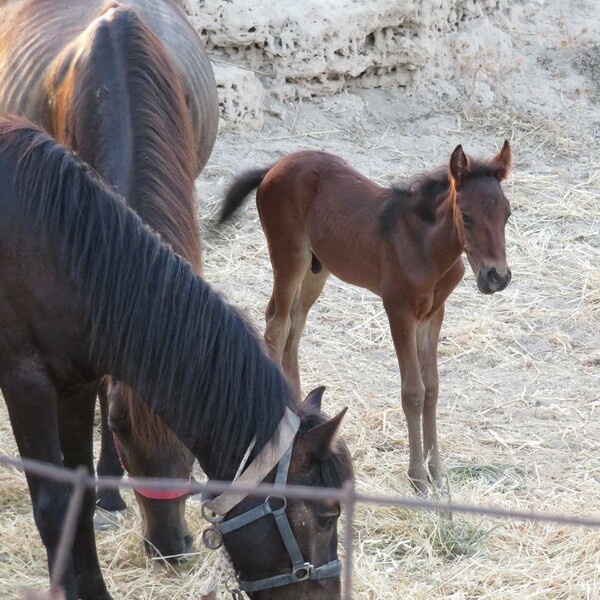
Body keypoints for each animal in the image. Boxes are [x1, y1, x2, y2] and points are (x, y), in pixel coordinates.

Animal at [0, 118, 352, 600]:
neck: (61, 252)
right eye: (326, 517)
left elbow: (80, 494)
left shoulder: (77, 385)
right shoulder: (26, 384)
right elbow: (54, 506)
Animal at [220, 143, 510, 494]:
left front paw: (437, 473)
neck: (425, 245)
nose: (497, 277)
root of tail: (275, 166)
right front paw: (418, 477)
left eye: (507, 214)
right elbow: (413, 392)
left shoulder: (434, 314)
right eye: (466, 216)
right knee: (276, 326)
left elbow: (432, 387)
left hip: (317, 270)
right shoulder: (398, 309)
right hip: (289, 256)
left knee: (293, 327)